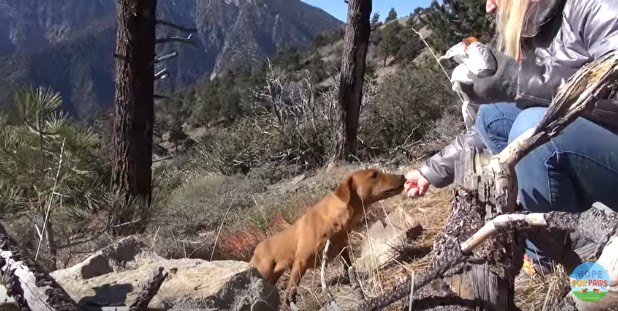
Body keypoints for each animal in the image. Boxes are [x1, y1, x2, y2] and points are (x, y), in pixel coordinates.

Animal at [248, 171, 406, 304]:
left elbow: (348, 266)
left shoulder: (342, 248)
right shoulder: (301, 261)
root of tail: (256, 250)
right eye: (374, 175)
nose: (402, 176)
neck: (334, 219)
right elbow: (291, 288)